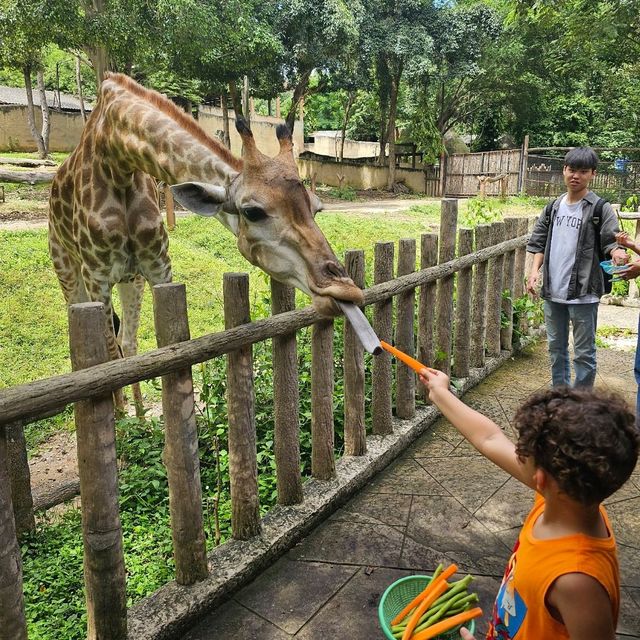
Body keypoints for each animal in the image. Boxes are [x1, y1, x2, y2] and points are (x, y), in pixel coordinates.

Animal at [47, 71, 362, 410]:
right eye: (253, 211)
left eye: (316, 208)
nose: (345, 289)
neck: (116, 156)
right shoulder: (98, 276)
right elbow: (107, 359)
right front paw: (122, 420)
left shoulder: (159, 268)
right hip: (70, 274)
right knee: (106, 346)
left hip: (132, 279)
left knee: (127, 342)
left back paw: (141, 415)